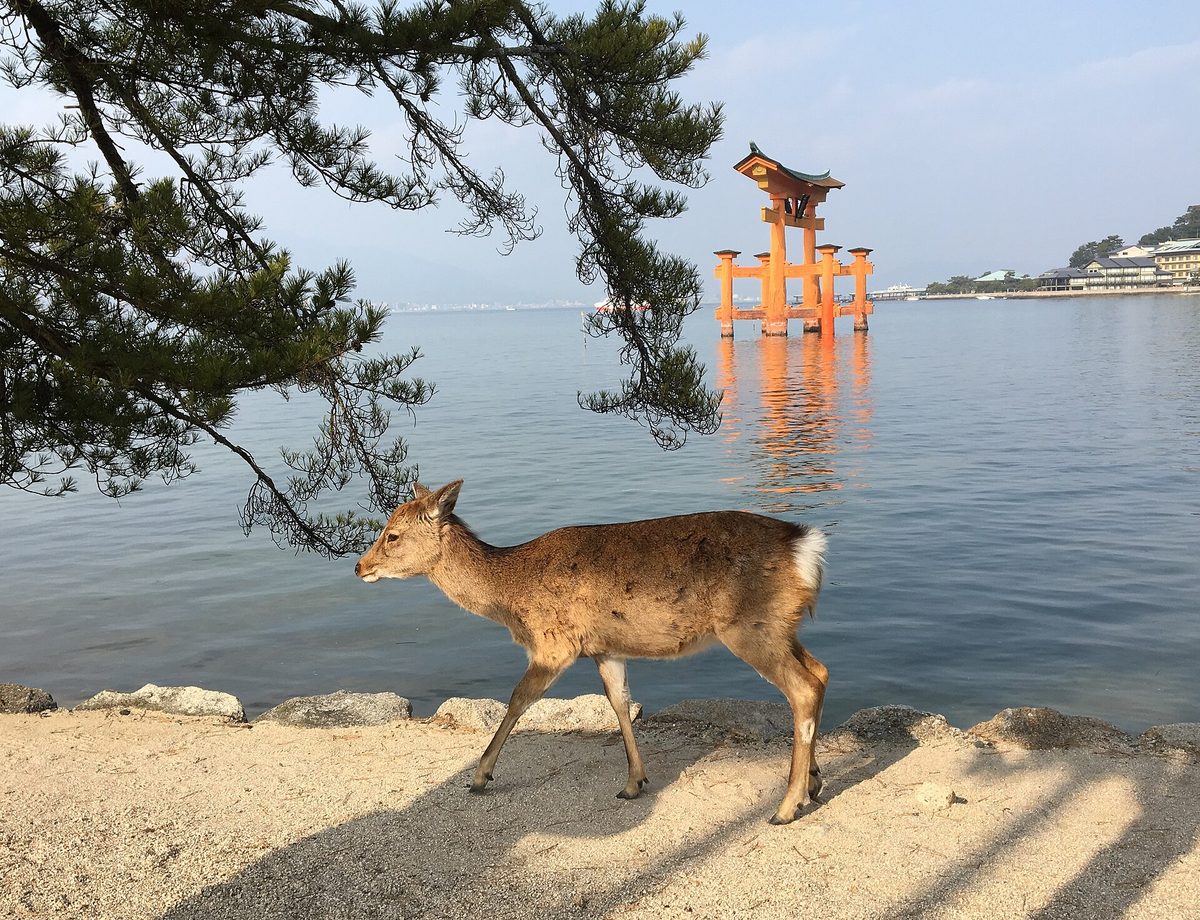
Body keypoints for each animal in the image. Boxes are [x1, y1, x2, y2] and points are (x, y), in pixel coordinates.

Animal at [355, 479, 829, 825]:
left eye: (392, 535)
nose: (360, 566)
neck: (509, 596)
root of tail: (806, 549)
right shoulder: (604, 648)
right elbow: (619, 702)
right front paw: (634, 782)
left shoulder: (555, 643)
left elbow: (518, 700)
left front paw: (480, 775)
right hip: (780, 627)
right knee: (820, 673)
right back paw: (813, 782)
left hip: (749, 627)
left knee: (803, 688)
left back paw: (786, 807)